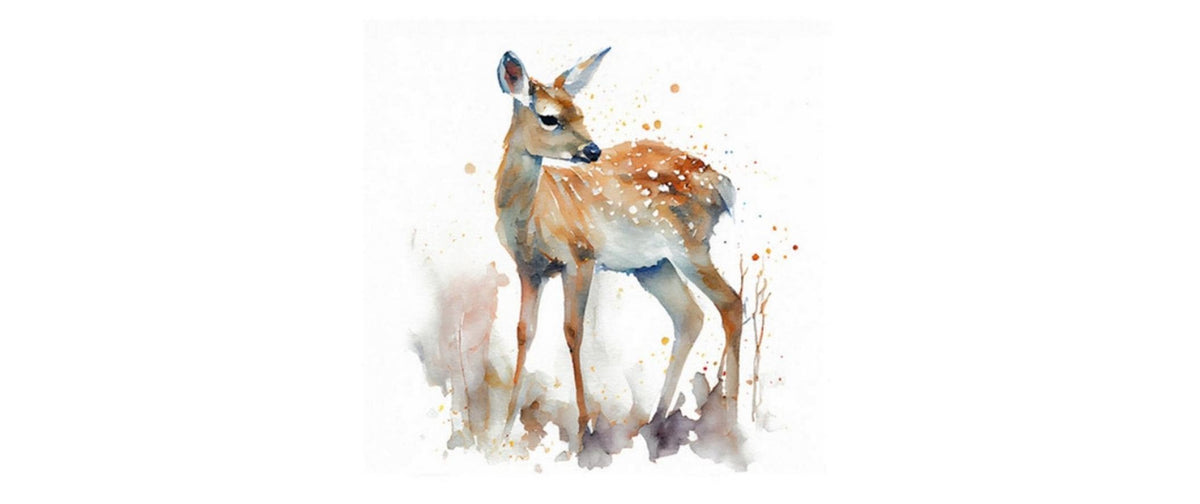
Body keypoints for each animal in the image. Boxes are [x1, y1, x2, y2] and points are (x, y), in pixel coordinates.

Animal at [494, 48, 743, 457]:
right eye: (549, 117)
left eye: (581, 112)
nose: (592, 150)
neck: (532, 216)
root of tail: (724, 184)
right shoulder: (528, 269)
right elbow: (523, 332)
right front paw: (501, 430)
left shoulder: (580, 256)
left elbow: (572, 331)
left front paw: (583, 431)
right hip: (653, 265)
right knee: (689, 316)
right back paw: (656, 421)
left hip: (691, 245)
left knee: (731, 303)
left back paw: (732, 422)